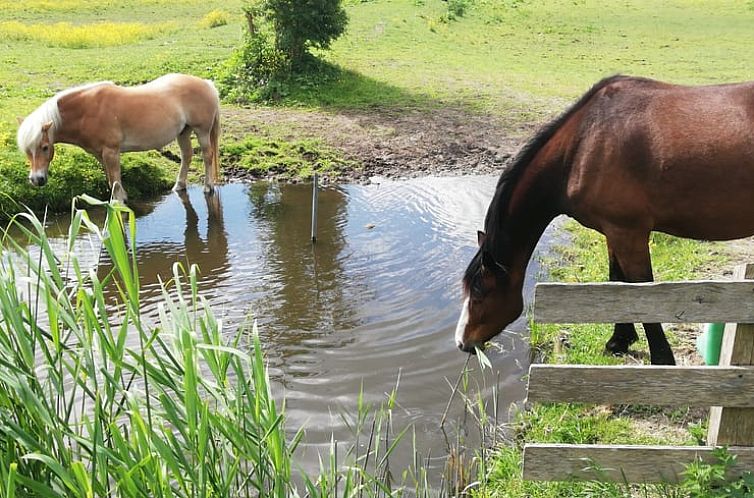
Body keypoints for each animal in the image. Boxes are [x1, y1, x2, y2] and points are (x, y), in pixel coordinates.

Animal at [16, 73, 219, 201]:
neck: (86, 111)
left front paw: (119, 203)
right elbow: (111, 179)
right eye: (27, 151)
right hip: (184, 132)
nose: (36, 180)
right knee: (187, 156)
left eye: (44, 147)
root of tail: (207, 84)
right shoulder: (101, 154)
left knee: (207, 156)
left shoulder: (111, 151)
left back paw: (208, 187)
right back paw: (179, 186)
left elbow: (114, 180)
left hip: (201, 131)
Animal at [456, 75, 752, 366]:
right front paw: (619, 340)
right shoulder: (614, 232)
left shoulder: (629, 233)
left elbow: (641, 290)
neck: (582, 145)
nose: (462, 342)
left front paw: (661, 359)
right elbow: (617, 281)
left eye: (480, 292)